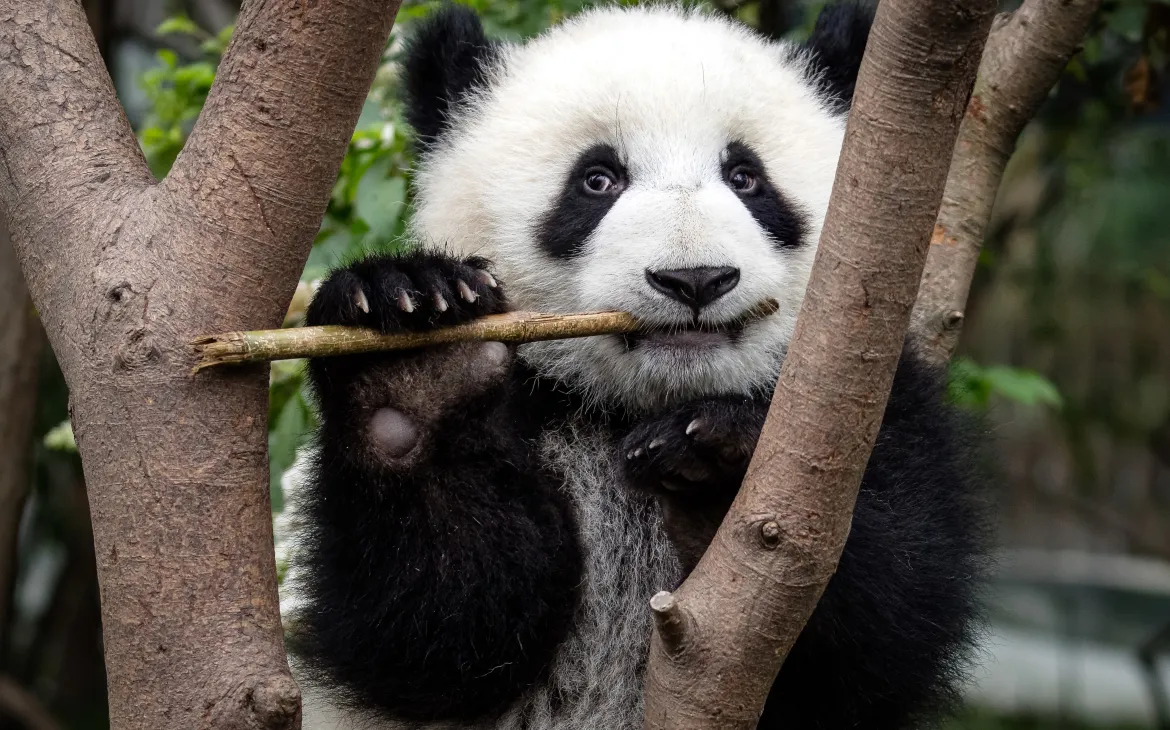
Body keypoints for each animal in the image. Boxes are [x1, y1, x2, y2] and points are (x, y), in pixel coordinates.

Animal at [285, 2, 987, 729]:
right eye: (598, 180)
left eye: (746, 178)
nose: (695, 279)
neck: (636, 405)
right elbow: (439, 627)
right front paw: (420, 361)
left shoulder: (869, 401)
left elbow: (890, 614)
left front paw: (719, 465)